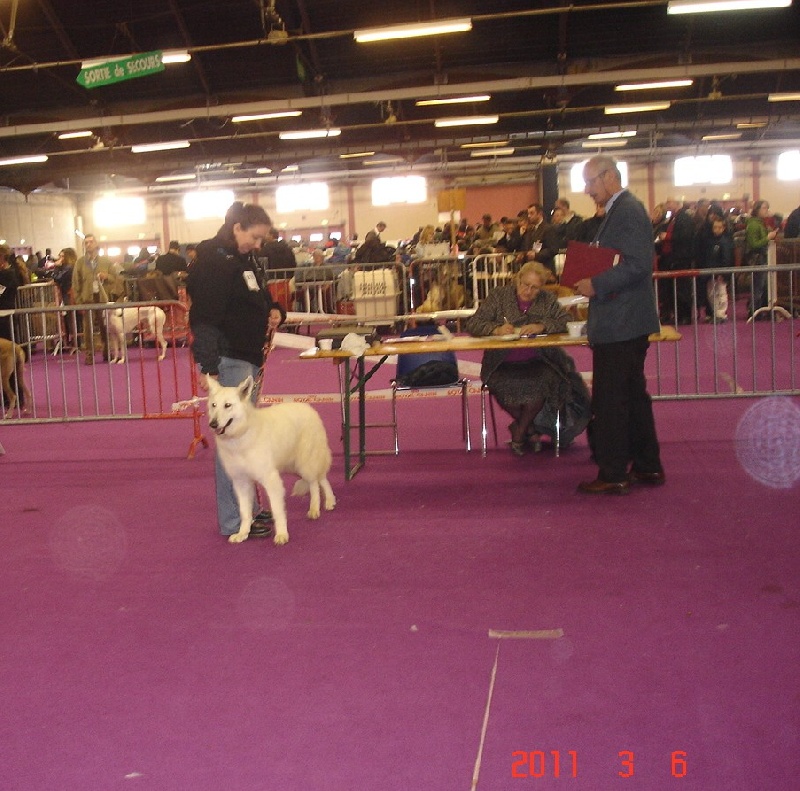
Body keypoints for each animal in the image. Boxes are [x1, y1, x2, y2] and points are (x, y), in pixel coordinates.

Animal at [206, 375, 336, 545]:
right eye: (213, 405)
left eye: (227, 405)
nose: (212, 424)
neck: (242, 434)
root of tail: (309, 408)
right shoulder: (241, 482)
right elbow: (245, 512)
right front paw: (243, 533)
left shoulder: (271, 479)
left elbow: (277, 510)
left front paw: (281, 534)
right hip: (294, 465)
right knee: (320, 478)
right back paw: (329, 501)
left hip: (304, 463)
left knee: (315, 482)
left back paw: (315, 508)